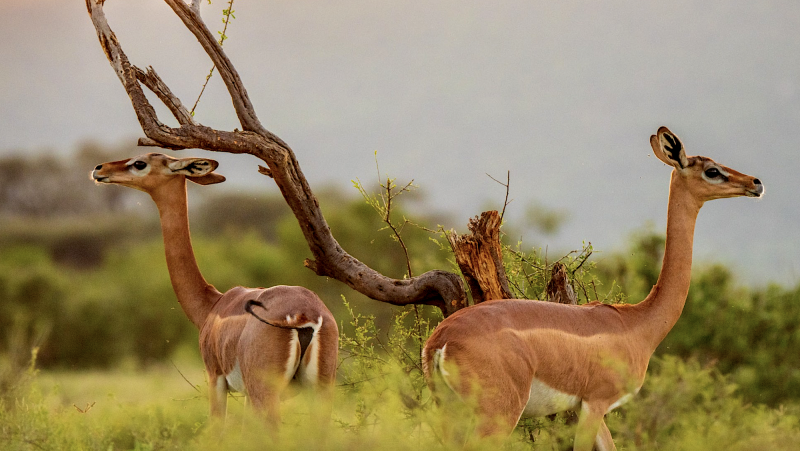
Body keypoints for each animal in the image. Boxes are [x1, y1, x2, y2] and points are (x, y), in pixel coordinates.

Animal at [92, 154, 340, 426]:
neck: (211, 305)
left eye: (140, 163)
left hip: (266, 392)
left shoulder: (216, 379)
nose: (99, 169)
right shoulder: (244, 394)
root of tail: (307, 317)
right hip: (320, 390)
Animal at [422, 127, 764, 451]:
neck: (636, 323)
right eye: (712, 170)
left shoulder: (590, 411)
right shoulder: (595, 403)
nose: (756, 183)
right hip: (498, 414)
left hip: (449, 411)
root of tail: (441, 341)